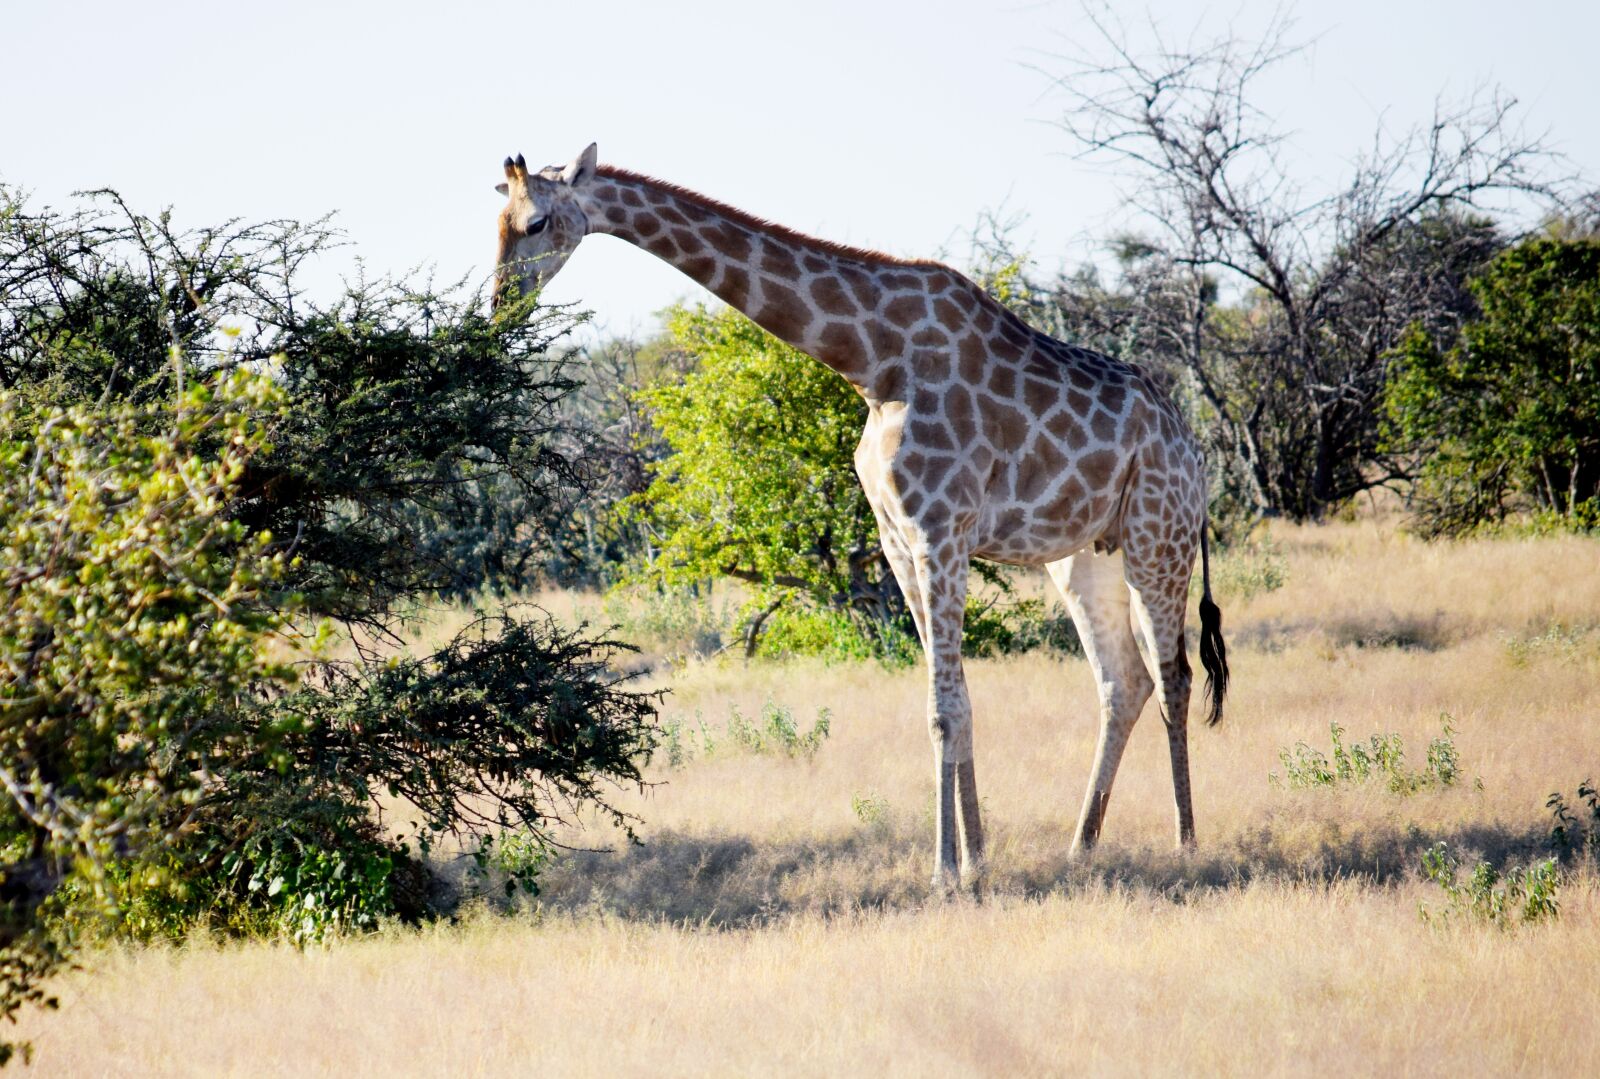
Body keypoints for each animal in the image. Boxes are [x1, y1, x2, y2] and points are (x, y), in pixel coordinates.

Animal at [494, 144, 1229, 892]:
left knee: (1174, 678)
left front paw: (944, 874)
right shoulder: (899, 540)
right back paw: (1082, 846)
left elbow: (944, 710)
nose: (499, 306)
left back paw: (1186, 843)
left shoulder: (941, 530)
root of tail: (1194, 450)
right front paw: (976, 860)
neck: (874, 362)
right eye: (498, 219)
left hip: (1157, 537)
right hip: (1083, 556)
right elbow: (957, 702)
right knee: (1123, 682)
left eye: (537, 222)